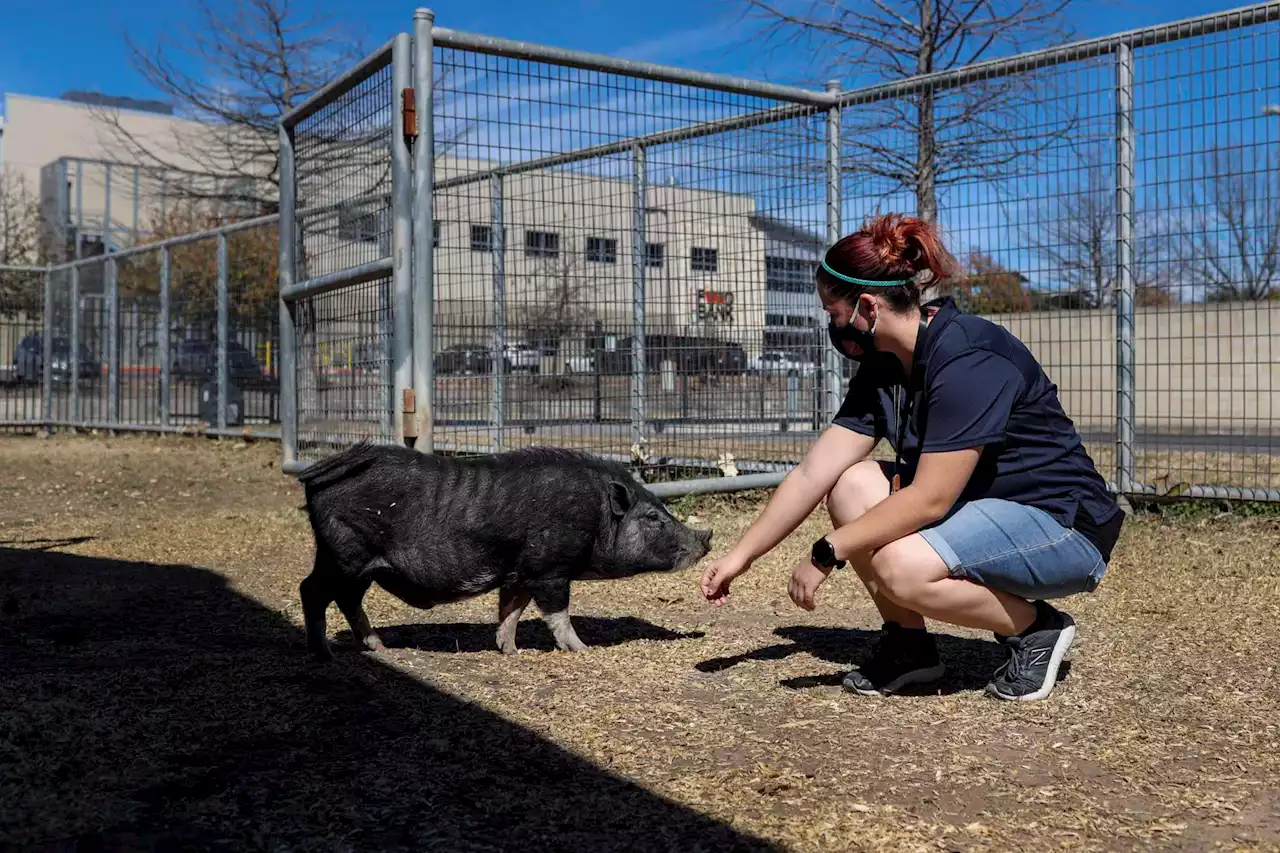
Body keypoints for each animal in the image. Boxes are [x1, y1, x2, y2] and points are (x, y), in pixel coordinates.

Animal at [295, 438, 716, 655]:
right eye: (653, 518)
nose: (707, 538)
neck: (596, 515)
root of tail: (319, 473)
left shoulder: (519, 572)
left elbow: (511, 609)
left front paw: (510, 651)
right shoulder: (549, 569)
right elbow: (557, 613)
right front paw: (582, 650)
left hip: (357, 566)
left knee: (348, 600)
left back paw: (378, 648)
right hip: (342, 554)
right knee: (311, 590)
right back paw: (324, 653)